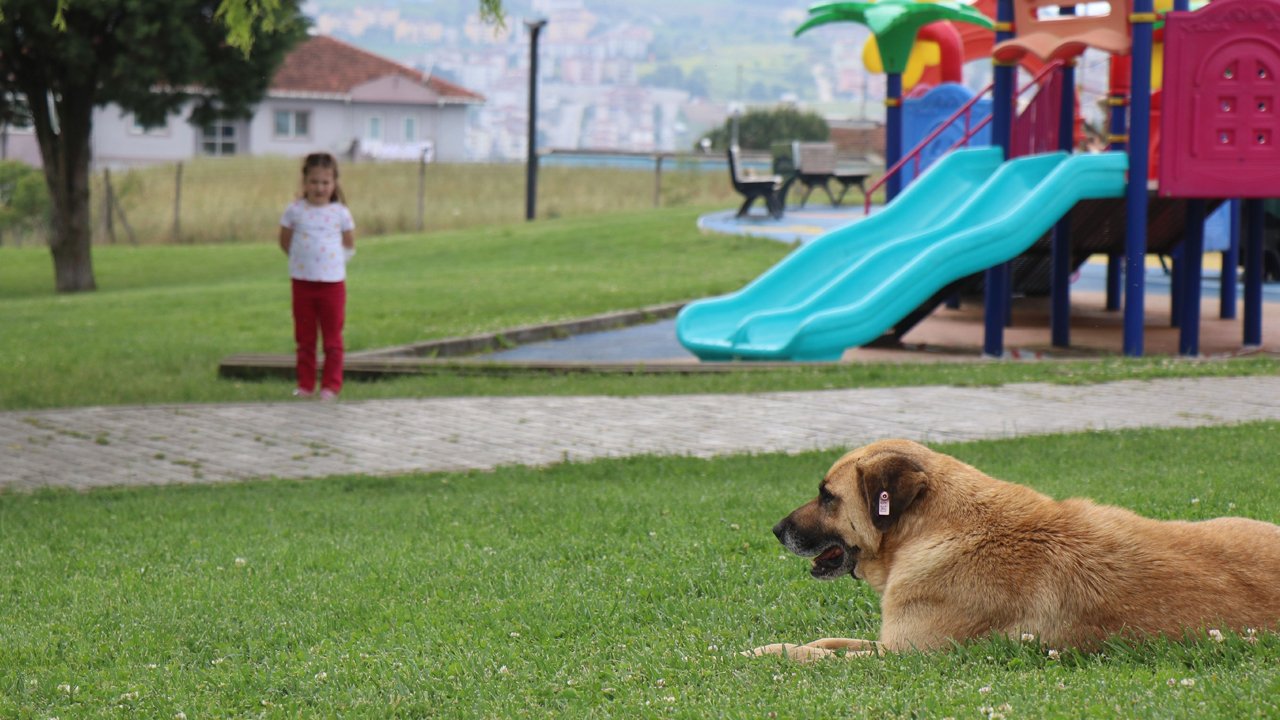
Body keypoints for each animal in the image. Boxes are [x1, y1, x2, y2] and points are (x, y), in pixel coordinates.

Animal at [747, 435, 1280, 661]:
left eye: (827, 496)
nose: (774, 530)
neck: (934, 529)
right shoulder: (890, 641)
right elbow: (827, 642)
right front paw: (768, 646)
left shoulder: (903, 655)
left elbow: (817, 656)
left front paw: (771, 654)